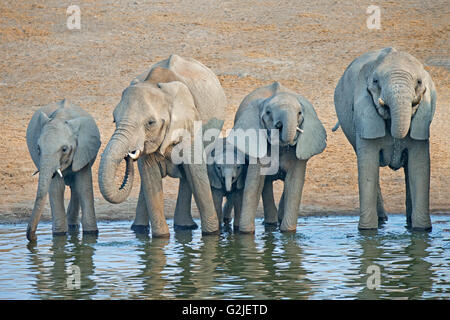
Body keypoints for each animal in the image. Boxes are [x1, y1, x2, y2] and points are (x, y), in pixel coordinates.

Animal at [25, 99, 101, 241]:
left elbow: (84, 187)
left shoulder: (83, 150)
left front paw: (91, 234)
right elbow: (56, 189)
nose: (35, 237)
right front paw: (59, 236)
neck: (61, 118)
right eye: (38, 148)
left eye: (64, 149)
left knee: (76, 187)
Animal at [98, 54, 225, 238]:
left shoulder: (191, 125)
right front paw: (161, 238)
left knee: (187, 176)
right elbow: (150, 177)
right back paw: (140, 229)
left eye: (150, 123)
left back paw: (184, 227)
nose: (129, 155)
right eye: (114, 120)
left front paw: (212, 235)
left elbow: (196, 173)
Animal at [229, 81, 326, 234]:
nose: (279, 125)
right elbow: (255, 183)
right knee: (266, 183)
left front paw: (288, 232)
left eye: (299, 113)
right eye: (268, 112)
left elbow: (294, 183)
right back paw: (270, 223)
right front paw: (246, 234)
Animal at [334, 47, 436, 231]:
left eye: (419, 82)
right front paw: (367, 232)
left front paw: (422, 231)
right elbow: (368, 167)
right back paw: (382, 220)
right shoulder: (364, 114)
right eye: (375, 81)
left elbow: (419, 167)